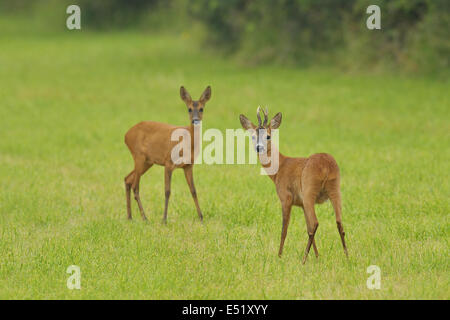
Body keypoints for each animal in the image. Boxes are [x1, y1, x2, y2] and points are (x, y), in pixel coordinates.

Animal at [123, 86, 211, 224]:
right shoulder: (168, 162)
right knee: (135, 186)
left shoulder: (188, 165)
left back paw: (130, 217)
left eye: (201, 108)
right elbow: (167, 191)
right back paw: (144, 218)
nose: (195, 120)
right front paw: (164, 219)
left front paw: (201, 217)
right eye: (189, 109)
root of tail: (126, 135)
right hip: (139, 156)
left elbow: (193, 190)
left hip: (147, 161)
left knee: (127, 179)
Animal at [239, 107, 348, 262]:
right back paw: (347, 257)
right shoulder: (301, 204)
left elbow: (284, 229)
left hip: (309, 191)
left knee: (315, 223)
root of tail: (326, 166)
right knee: (339, 223)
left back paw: (303, 260)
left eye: (268, 136)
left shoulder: (286, 197)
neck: (279, 168)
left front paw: (279, 256)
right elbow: (307, 228)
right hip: (335, 189)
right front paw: (317, 256)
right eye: (253, 137)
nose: (259, 148)